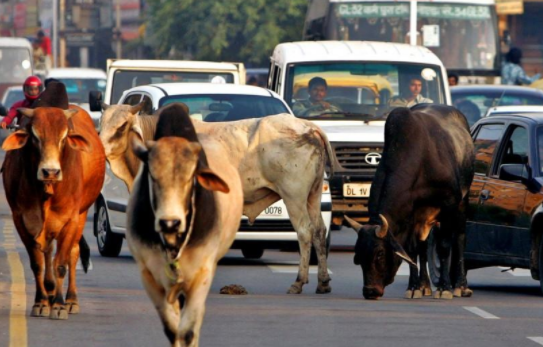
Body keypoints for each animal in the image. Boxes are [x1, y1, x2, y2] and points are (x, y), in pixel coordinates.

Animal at [2, 106, 105, 320]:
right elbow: (37, 263)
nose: (50, 171)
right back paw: (49, 293)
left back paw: (71, 300)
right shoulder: (21, 219)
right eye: (34, 136)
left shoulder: (70, 219)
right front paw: (41, 302)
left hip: (82, 215)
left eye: (64, 137)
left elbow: (61, 264)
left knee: (73, 253)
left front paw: (59, 305)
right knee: (48, 252)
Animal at [100, 103, 334, 296]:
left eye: (122, 126)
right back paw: (322, 282)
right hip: (313, 196)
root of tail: (308, 127)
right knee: (319, 231)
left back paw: (299, 282)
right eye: (101, 123)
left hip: (294, 196)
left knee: (305, 232)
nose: (100, 148)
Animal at [127, 104, 242, 347]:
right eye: (152, 176)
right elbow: (173, 331)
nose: (169, 222)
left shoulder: (202, 275)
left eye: (190, 178)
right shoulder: (149, 276)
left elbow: (188, 331)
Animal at [346, 104, 474, 302]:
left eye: (380, 254)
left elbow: (444, 246)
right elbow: (412, 251)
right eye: (358, 255)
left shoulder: (449, 205)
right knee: (422, 247)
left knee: (460, 238)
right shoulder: (411, 214)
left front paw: (444, 288)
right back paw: (424, 286)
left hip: (462, 202)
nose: (370, 292)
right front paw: (414, 287)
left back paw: (461, 286)